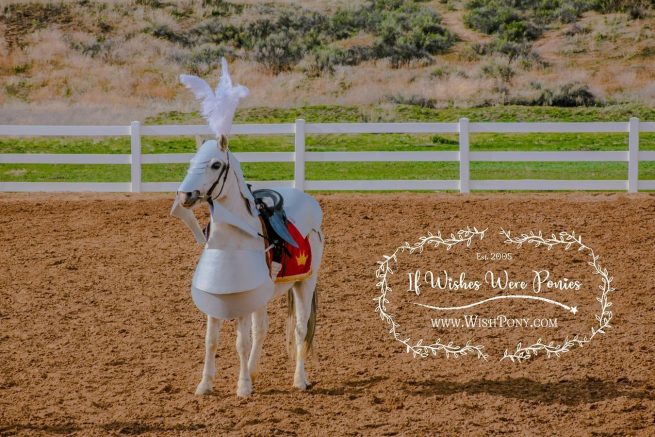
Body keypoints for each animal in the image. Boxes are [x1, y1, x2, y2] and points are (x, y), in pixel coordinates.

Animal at [171, 136, 324, 397]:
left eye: (215, 164)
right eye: (191, 162)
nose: (184, 195)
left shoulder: (241, 299)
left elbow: (241, 342)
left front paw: (242, 387)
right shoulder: (215, 297)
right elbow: (211, 340)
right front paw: (205, 384)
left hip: (305, 283)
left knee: (300, 329)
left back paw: (300, 380)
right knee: (261, 329)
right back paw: (253, 372)